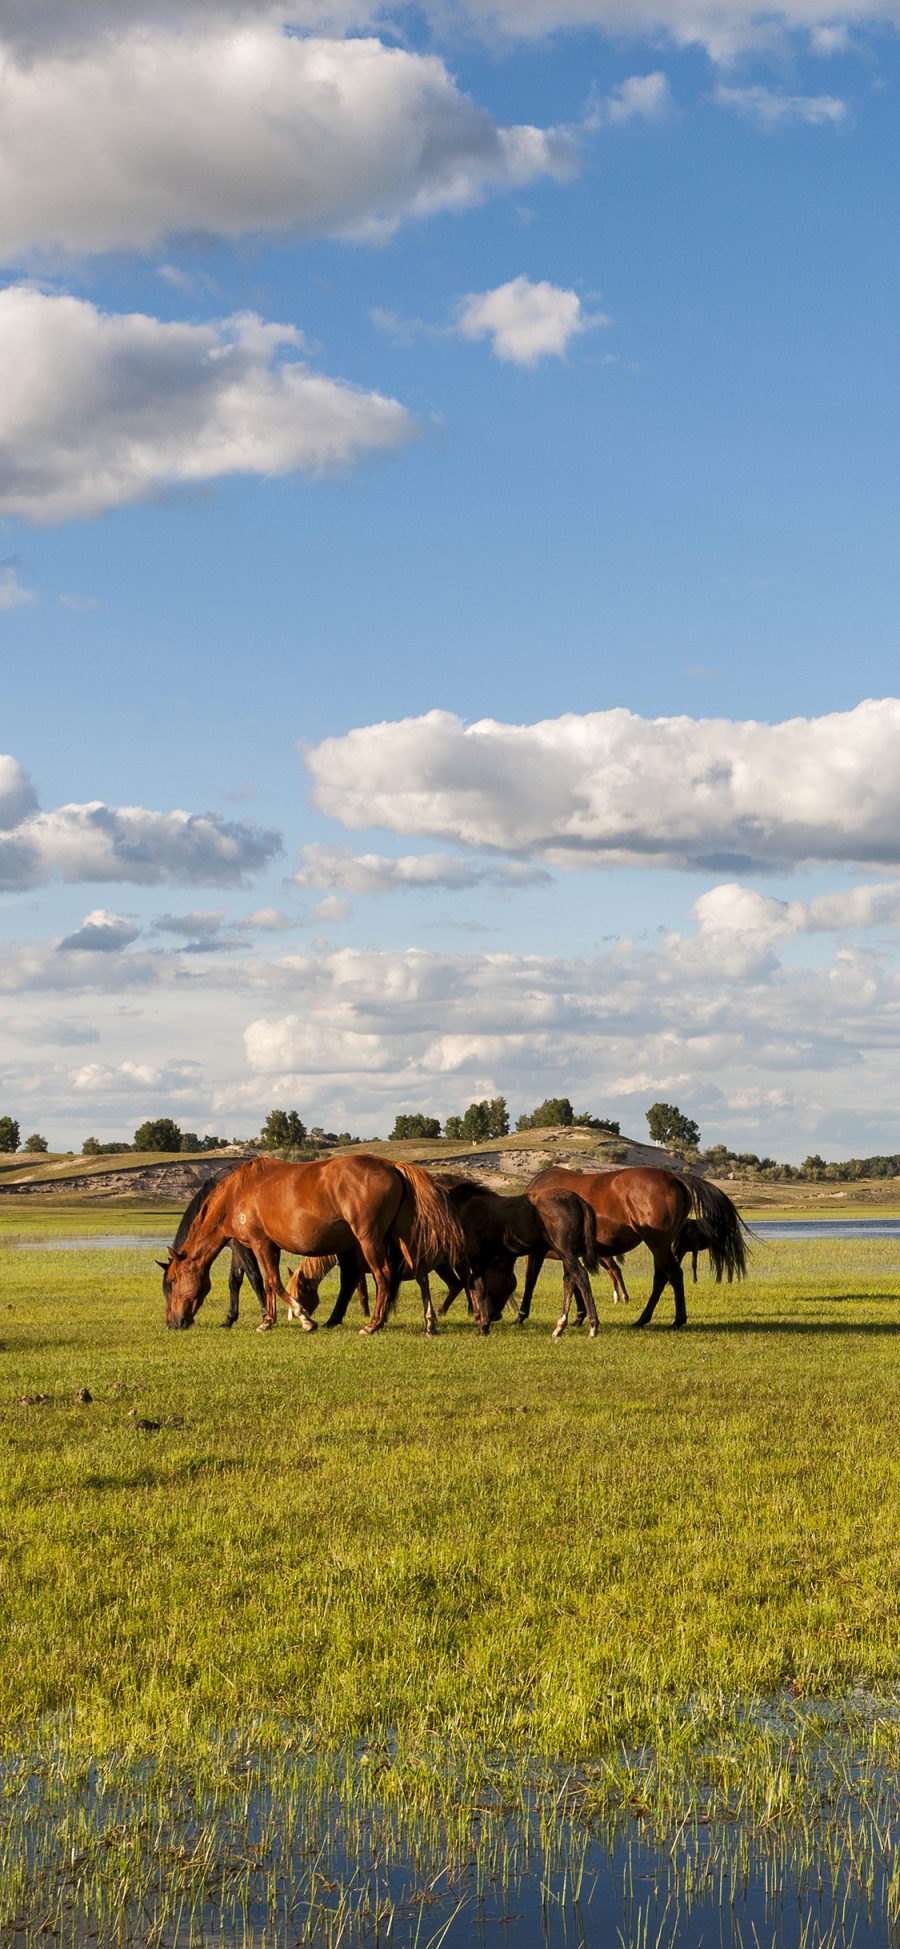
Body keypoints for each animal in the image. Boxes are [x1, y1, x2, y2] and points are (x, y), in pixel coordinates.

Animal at [162, 1146, 467, 1333]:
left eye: (172, 1282)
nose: (172, 1322)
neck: (236, 1191)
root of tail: (392, 1165)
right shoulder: (263, 1246)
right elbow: (267, 1283)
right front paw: (268, 1320)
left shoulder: (259, 1243)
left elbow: (270, 1281)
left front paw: (304, 1319)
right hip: (401, 1234)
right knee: (420, 1273)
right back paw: (429, 1322)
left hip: (370, 1239)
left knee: (383, 1275)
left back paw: (373, 1324)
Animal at [522, 1161, 744, 1333]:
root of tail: (673, 1177)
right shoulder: (568, 1255)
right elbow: (573, 1281)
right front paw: (579, 1316)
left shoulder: (539, 1252)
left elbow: (531, 1279)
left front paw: (522, 1314)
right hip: (661, 1246)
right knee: (661, 1278)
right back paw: (643, 1319)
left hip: (658, 1244)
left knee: (673, 1275)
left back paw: (676, 1321)